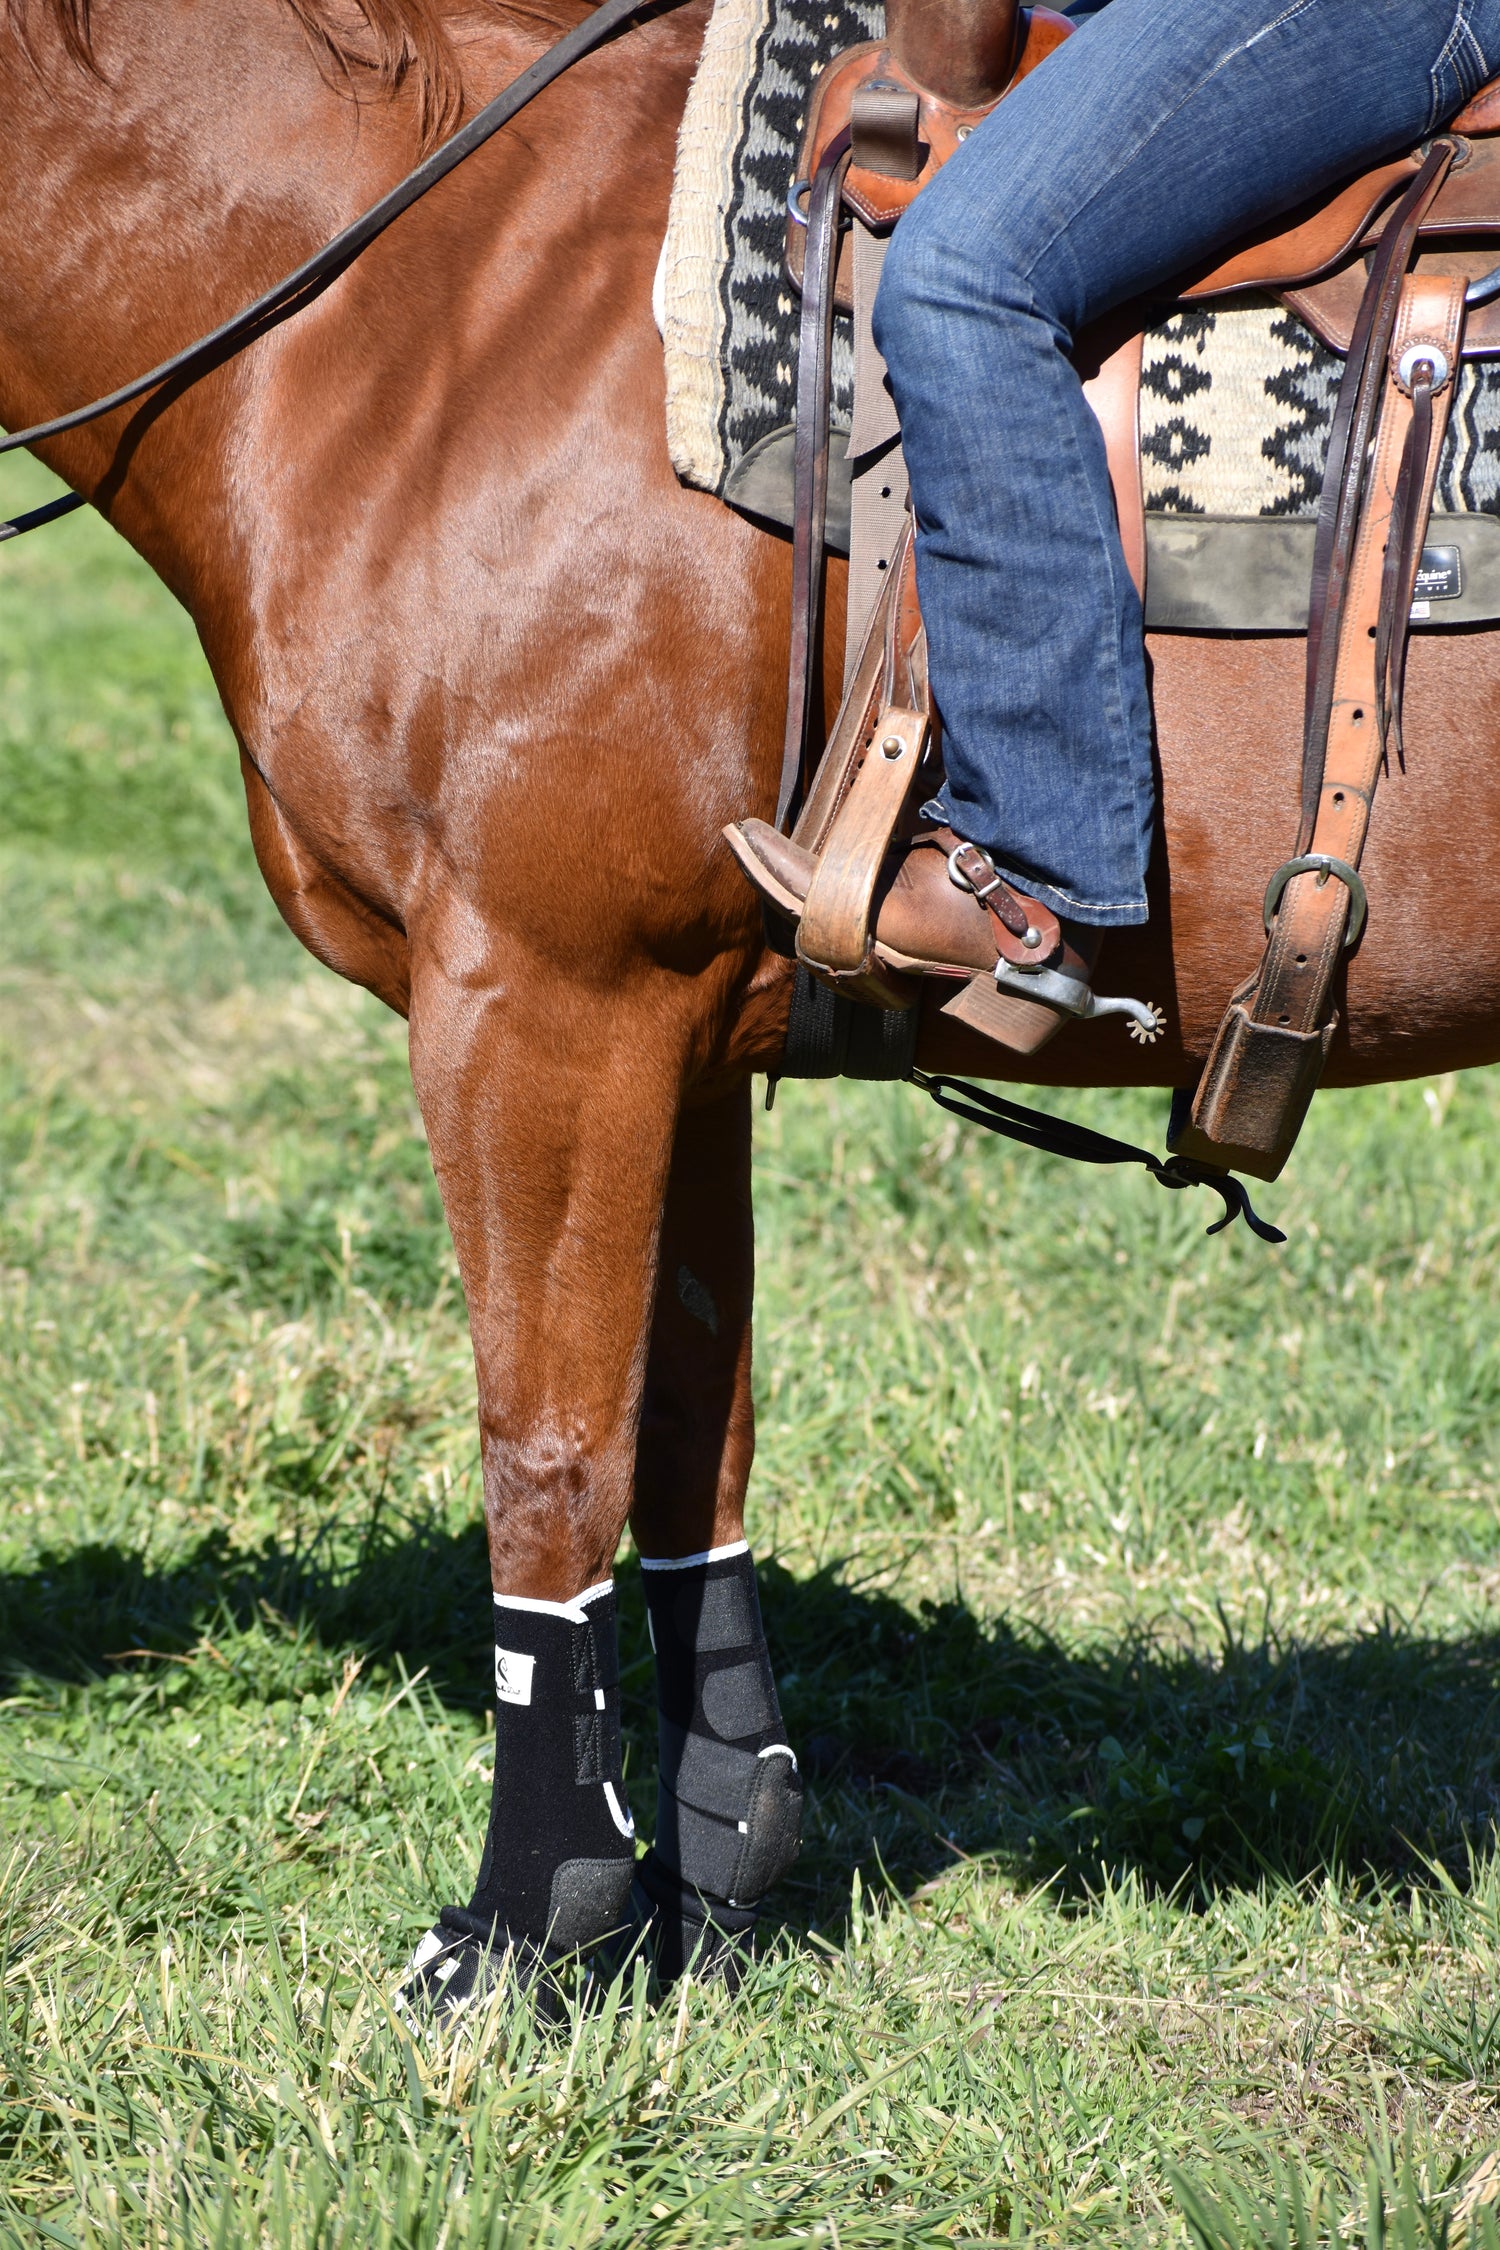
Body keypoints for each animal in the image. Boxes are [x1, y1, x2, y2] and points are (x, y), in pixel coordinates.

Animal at [5, 0, 1500, 1977]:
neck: (419, 312)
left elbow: (548, 1448)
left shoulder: (538, 1001)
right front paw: (715, 1863)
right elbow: (686, 1443)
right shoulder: (679, 1027)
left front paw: (528, 1924)